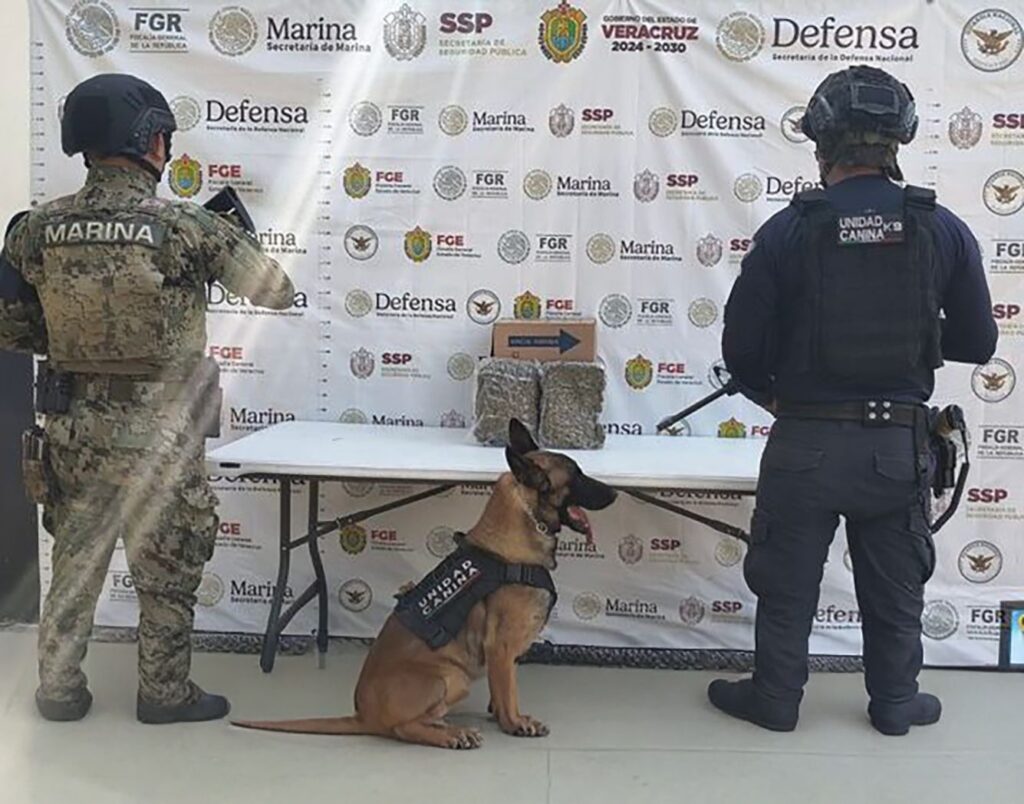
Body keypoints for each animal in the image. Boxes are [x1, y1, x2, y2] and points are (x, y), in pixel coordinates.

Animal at [232, 418, 617, 749]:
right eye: (577, 476)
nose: (614, 494)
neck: (521, 525)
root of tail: (363, 715)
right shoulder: (502, 646)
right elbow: (509, 694)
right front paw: (515, 723)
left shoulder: (503, 656)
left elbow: (501, 688)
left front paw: (500, 715)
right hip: (450, 677)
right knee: (404, 728)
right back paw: (452, 735)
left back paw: (449, 727)